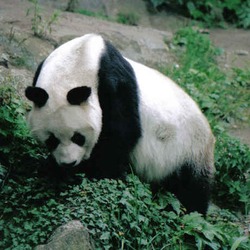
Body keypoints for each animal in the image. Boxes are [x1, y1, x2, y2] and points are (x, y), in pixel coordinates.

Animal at [26, 33, 216, 214]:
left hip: (188, 149)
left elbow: (121, 134)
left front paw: (97, 175)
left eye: (78, 137)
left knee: (191, 189)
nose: (69, 163)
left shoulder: (113, 84)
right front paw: (53, 170)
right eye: (52, 140)